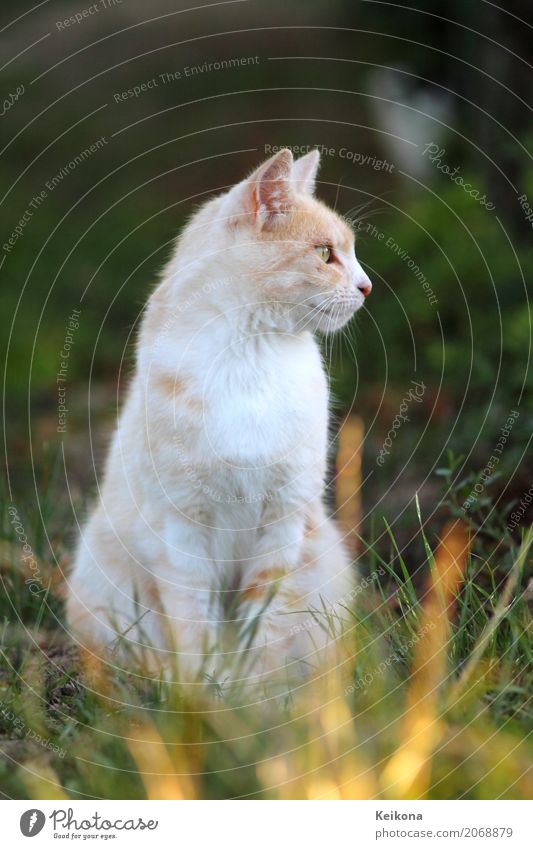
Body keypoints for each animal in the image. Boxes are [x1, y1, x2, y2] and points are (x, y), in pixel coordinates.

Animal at [66, 147, 372, 684]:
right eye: (324, 254)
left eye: (349, 252)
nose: (367, 286)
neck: (251, 358)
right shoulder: (182, 530)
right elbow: (194, 627)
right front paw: (203, 695)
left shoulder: (284, 521)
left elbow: (264, 627)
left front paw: (255, 694)